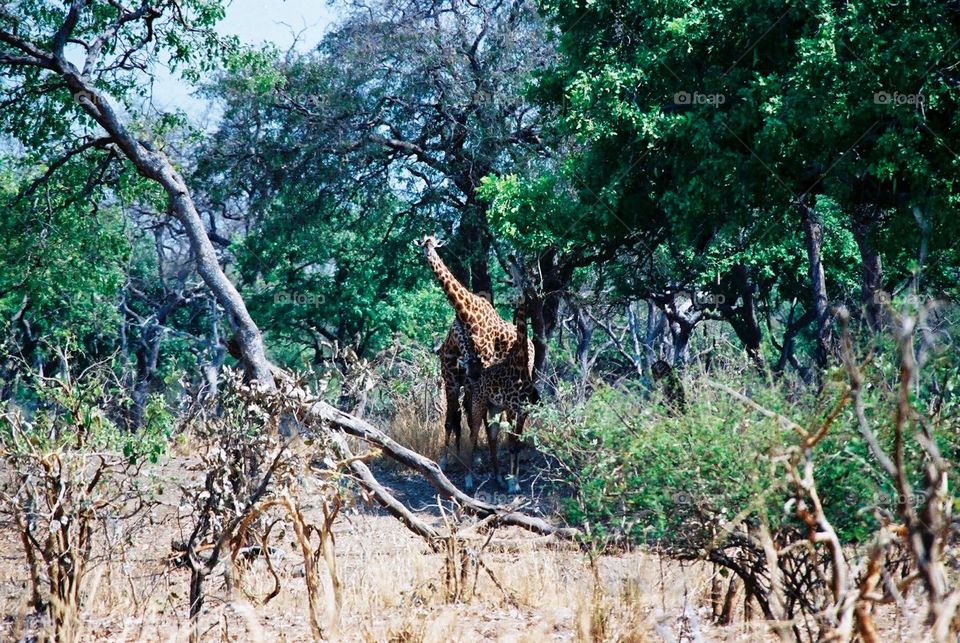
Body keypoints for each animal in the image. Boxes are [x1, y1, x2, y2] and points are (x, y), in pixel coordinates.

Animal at [412, 234, 532, 480]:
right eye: (424, 242)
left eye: (434, 243)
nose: (428, 252)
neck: (467, 314)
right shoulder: (456, 377)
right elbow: (456, 417)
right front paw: (451, 460)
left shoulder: (480, 369)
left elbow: (475, 416)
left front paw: (475, 461)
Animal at [462, 296, 536, 494]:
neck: (520, 367)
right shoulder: (511, 409)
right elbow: (511, 444)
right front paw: (512, 485)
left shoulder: (523, 411)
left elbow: (517, 445)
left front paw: (514, 483)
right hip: (479, 404)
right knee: (473, 436)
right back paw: (468, 481)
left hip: (494, 408)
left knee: (492, 436)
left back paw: (498, 479)